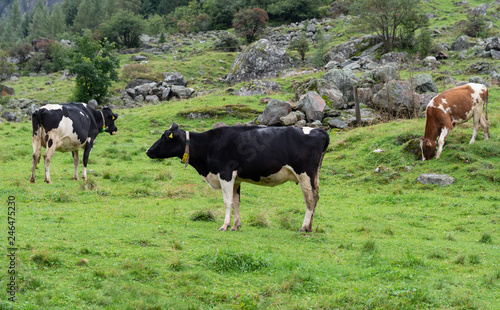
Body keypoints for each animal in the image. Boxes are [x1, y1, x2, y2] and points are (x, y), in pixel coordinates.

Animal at [146, 122, 330, 231]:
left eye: (164, 137)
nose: (148, 151)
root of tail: (319, 130)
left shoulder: (225, 174)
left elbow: (227, 201)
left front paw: (225, 225)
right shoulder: (236, 179)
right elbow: (236, 202)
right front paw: (236, 225)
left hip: (305, 174)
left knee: (309, 199)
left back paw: (304, 227)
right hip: (315, 175)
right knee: (316, 197)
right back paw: (310, 227)